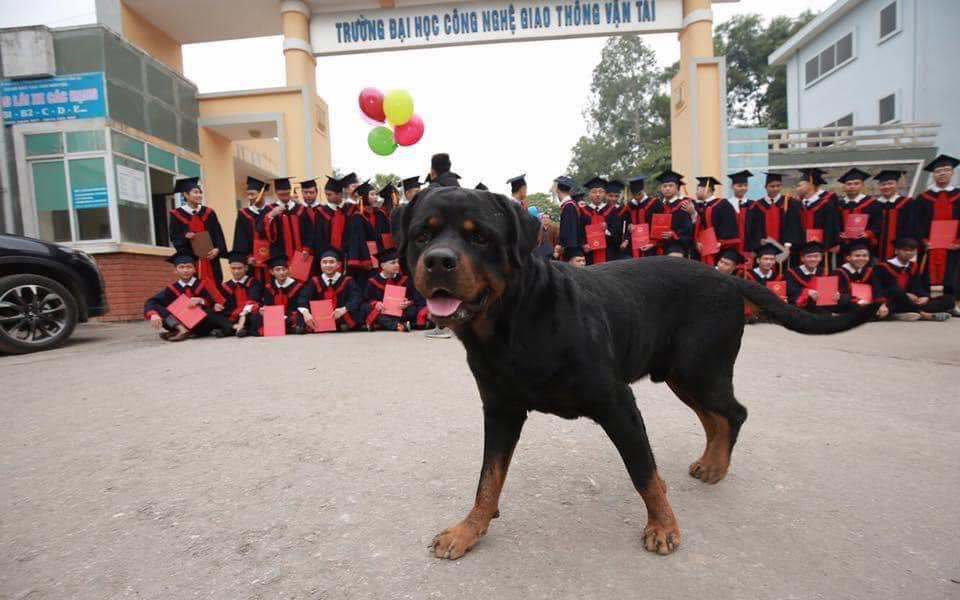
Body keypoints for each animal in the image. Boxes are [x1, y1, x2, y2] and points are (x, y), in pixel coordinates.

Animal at [402, 186, 880, 556]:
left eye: (480, 237)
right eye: (422, 234)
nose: (439, 260)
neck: (512, 323)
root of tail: (727, 277)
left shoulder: (617, 403)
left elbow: (643, 471)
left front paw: (663, 526)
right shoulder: (501, 409)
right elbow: (488, 477)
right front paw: (468, 530)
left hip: (700, 368)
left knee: (733, 412)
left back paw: (716, 467)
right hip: (680, 374)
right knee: (716, 417)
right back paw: (710, 463)